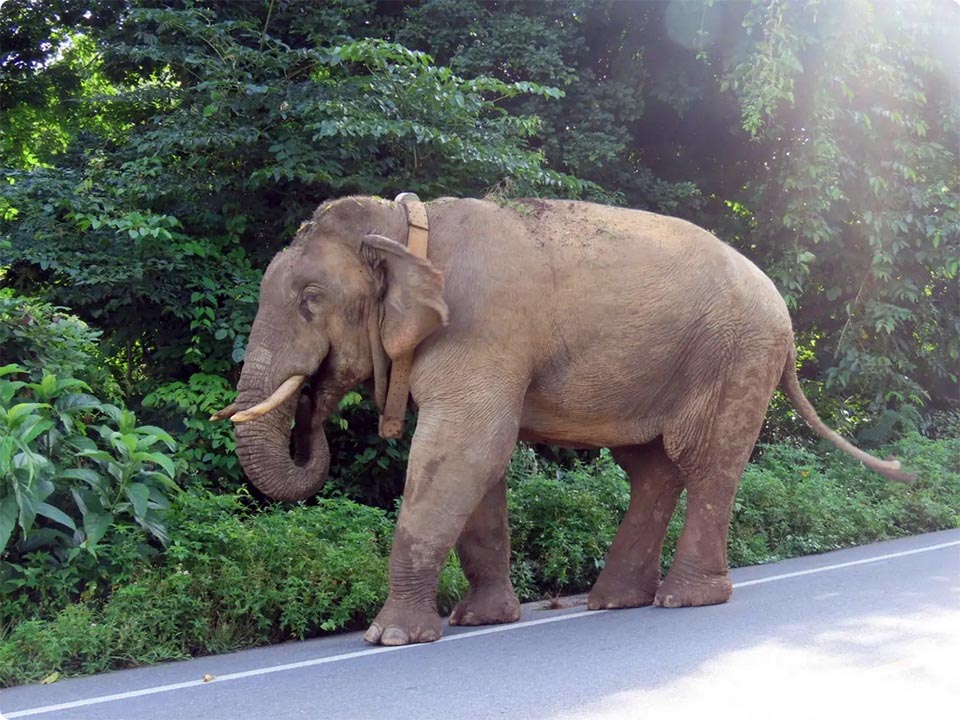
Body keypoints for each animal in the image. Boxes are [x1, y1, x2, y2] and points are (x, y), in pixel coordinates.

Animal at [212, 195, 913, 647]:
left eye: (310, 299)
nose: (313, 417)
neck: (406, 224)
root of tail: (785, 315)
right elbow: (480, 465)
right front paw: (478, 622)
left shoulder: (482, 329)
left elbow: (466, 450)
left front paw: (390, 638)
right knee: (653, 468)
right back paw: (616, 601)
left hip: (738, 355)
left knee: (707, 462)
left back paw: (683, 600)